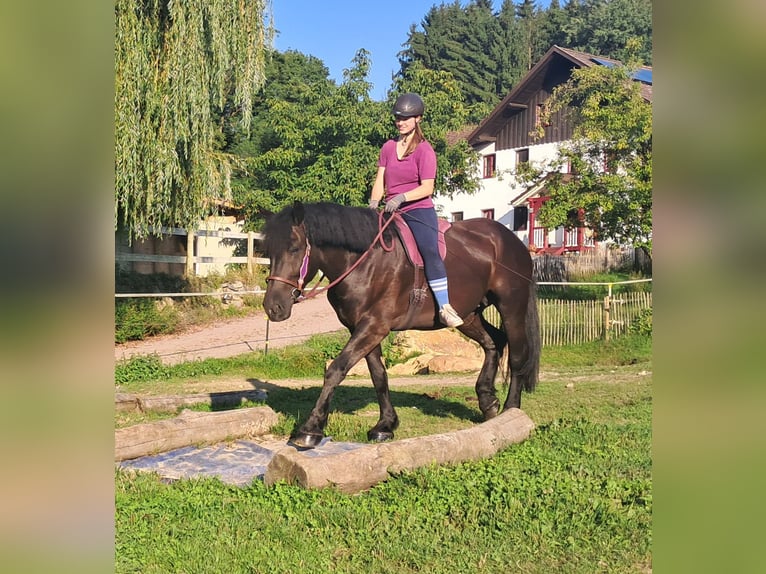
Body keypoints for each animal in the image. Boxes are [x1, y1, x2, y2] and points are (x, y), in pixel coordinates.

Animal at [263, 201, 540, 448]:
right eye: (268, 251)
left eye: (295, 248)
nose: (272, 307)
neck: (366, 262)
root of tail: (511, 240)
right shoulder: (363, 329)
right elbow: (379, 375)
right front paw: (386, 424)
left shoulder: (373, 327)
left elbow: (336, 370)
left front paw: (311, 429)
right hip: (469, 315)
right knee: (494, 342)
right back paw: (487, 401)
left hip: (511, 307)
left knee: (518, 357)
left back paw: (511, 411)